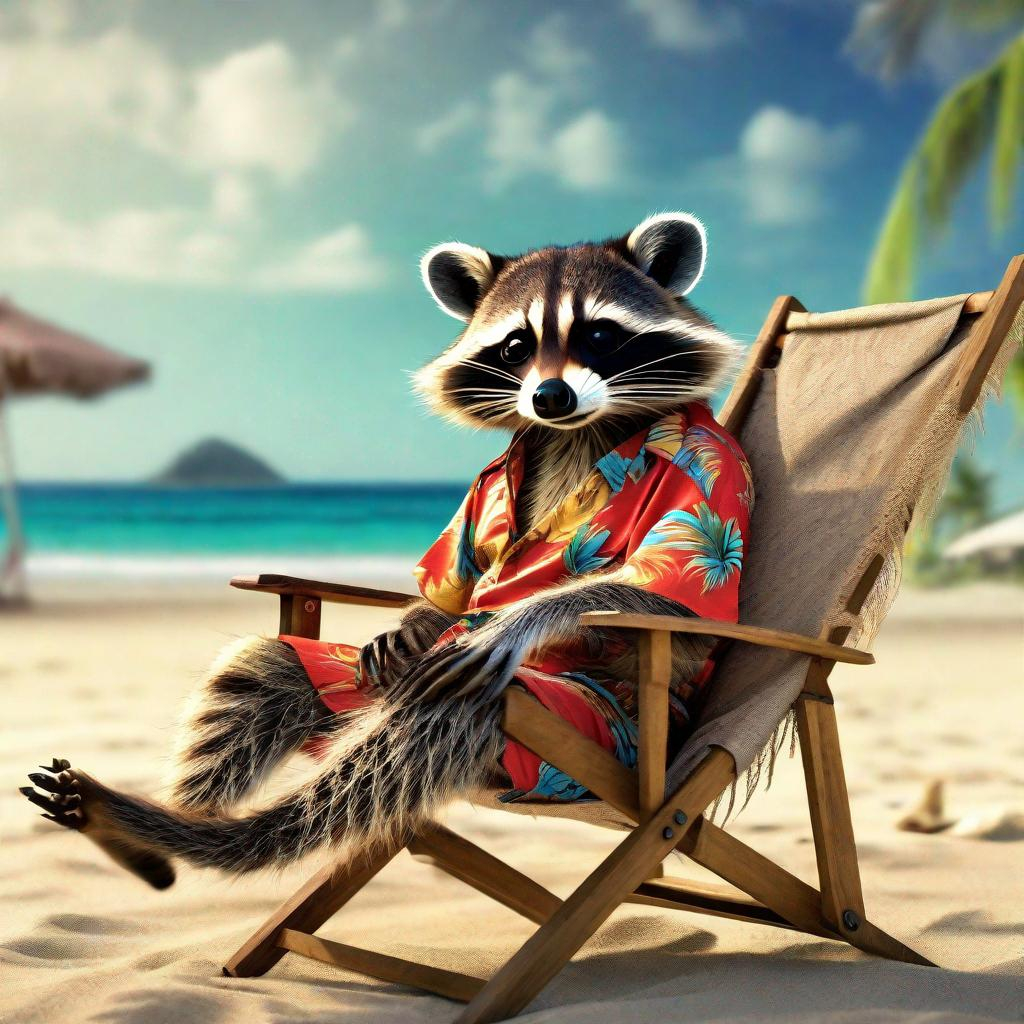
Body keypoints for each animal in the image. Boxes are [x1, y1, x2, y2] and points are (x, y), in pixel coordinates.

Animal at [22, 213, 742, 887]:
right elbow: (452, 586)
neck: (577, 431)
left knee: (440, 713)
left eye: (598, 334)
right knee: (261, 669)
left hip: (582, 729)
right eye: (517, 345)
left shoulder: (708, 486)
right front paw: (416, 620)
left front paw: (517, 619)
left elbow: (653, 597)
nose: (550, 396)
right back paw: (161, 827)